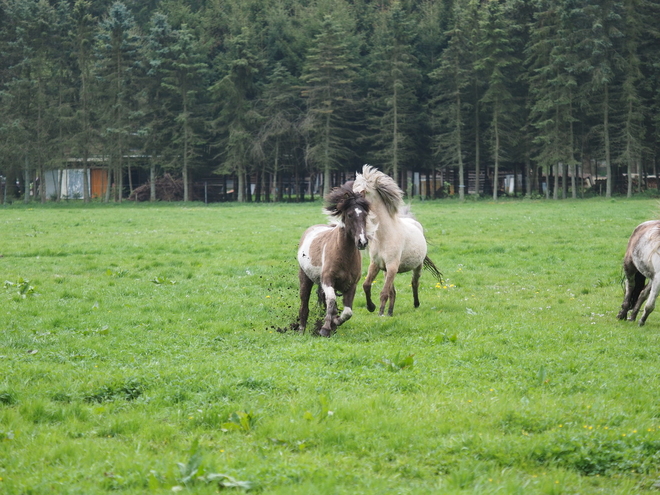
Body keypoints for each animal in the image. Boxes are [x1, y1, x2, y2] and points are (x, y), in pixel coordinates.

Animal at [300, 183, 372, 338]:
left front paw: (335, 322)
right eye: (350, 215)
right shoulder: (328, 280)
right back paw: (301, 329)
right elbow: (332, 300)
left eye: (365, 215)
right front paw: (325, 328)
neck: (343, 255)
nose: (362, 242)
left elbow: (347, 312)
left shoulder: (351, 285)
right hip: (304, 278)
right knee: (304, 303)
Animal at [354, 166, 440, 318]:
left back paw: (416, 304)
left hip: (417, 266)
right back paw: (390, 312)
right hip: (386, 271)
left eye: (363, 192)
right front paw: (371, 307)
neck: (384, 235)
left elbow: (384, 293)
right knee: (393, 291)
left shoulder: (392, 266)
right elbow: (366, 285)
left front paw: (380, 313)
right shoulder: (376, 264)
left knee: (414, 283)